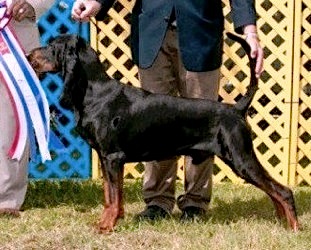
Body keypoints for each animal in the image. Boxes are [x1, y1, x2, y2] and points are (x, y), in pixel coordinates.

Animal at [28, 32, 302, 232]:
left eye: (51, 46)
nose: (29, 55)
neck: (94, 92)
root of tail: (236, 109)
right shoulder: (106, 159)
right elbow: (110, 195)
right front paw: (108, 221)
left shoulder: (113, 157)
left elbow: (114, 197)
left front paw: (107, 226)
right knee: (274, 191)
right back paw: (282, 223)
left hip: (241, 158)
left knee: (283, 191)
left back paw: (294, 228)